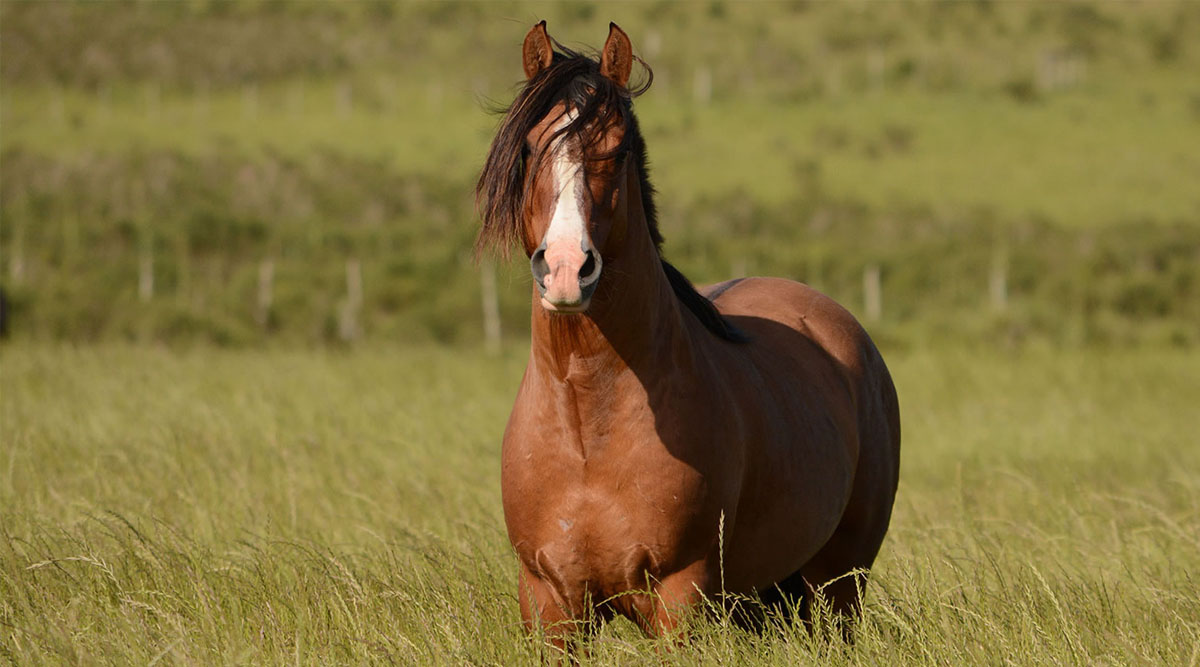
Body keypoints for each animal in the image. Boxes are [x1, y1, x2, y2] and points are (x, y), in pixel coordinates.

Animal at [477, 22, 902, 652]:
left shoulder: (681, 599)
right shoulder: (549, 605)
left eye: (618, 149)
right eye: (530, 148)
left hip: (838, 586)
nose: (566, 268)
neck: (587, 432)